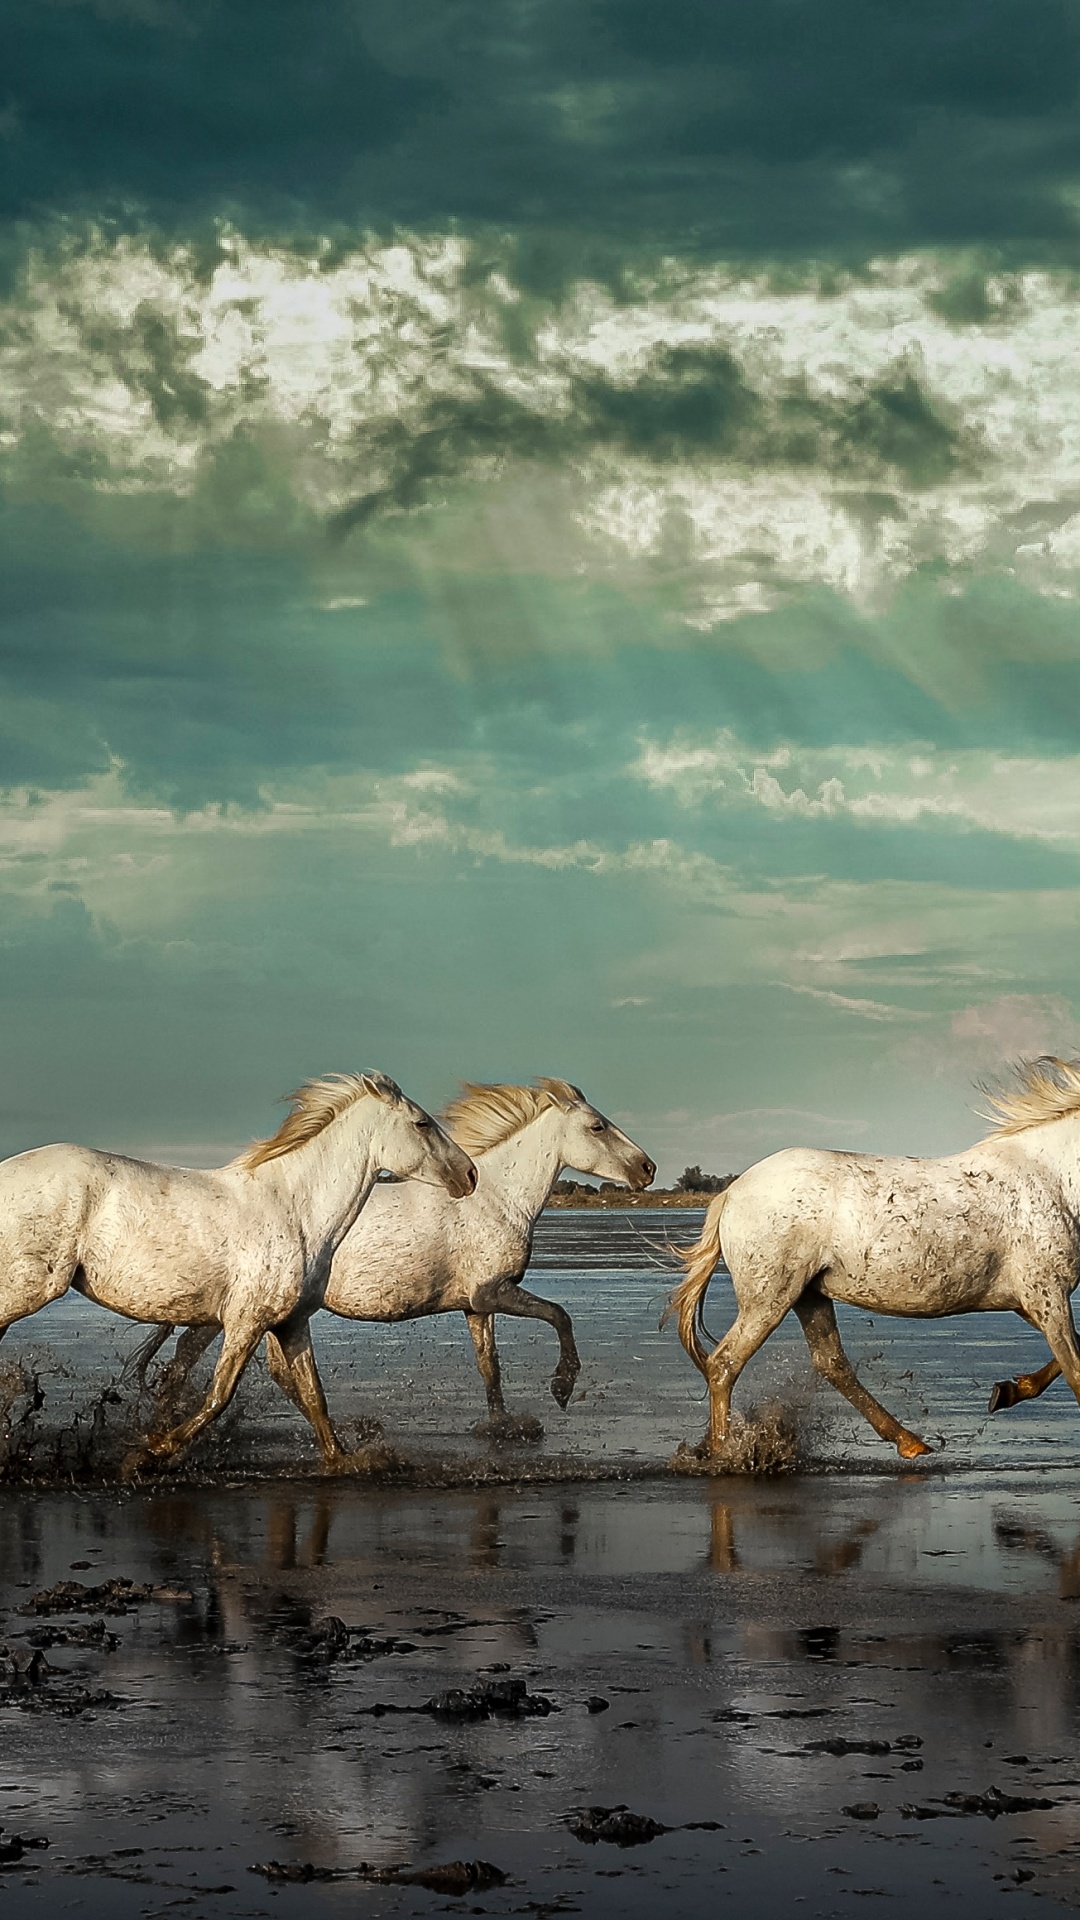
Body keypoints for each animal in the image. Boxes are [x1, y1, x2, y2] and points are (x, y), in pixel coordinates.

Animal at [0, 1071, 476, 1472]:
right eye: (422, 1123)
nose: (469, 1175)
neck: (296, 1210)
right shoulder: (246, 1321)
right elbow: (219, 1395)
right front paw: (148, 1454)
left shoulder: (291, 1322)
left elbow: (314, 1397)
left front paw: (342, 1461)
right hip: (31, 1285)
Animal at [126, 1078, 655, 1455]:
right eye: (598, 1126)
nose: (647, 1169)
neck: (497, 1198)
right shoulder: (492, 1290)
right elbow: (559, 1315)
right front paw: (562, 1388)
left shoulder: (475, 1305)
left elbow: (490, 1367)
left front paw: (504, 1426)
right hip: (239, 1310)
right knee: (188, 1361)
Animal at [666, 1056, 1080, 1461]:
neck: (1053, 1180)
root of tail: (731, 1193)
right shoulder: (1045, 1294)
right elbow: (1075, 1368)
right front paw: (1009, 1391)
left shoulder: (1031, 1301)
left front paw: (1008, 1390)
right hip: (767, 1299)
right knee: (724, 1364)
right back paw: (723, 1454)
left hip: (808, 1296)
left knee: (830, 1363)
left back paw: (909, 1441)